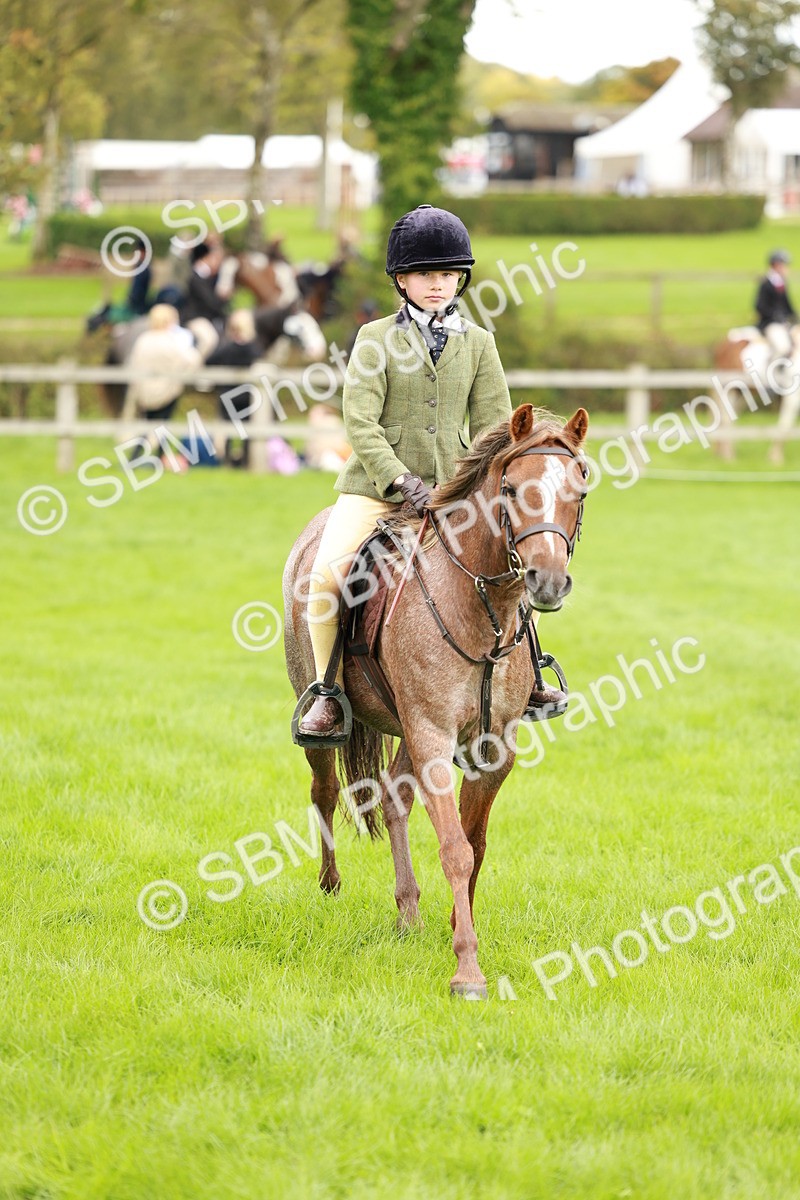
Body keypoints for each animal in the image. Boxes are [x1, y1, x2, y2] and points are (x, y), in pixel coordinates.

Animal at [283, 404, 589, 998]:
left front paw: (455, 926)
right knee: (325, 790)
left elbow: (476, 844)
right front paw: (467, 970)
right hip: (329, 714)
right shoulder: (433, 735)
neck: (482, 606)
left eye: (579, 489)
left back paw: (408, 913)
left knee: (393, 798)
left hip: (406, 731)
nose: (547, 582)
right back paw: (330, 884)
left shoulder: (492, 747)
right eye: (511, 489)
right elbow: (454, 848)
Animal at [712, 326, 800, 463]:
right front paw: (775, 458)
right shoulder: (793, 397)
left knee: (732, 417)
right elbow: (785, 425)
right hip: (729, 389)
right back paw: (728, 455)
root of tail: (724, 344)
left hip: (742, 393)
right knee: (726, 418)